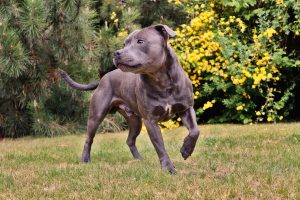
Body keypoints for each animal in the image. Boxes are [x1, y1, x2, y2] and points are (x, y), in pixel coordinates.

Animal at [58, 24, 199, 173]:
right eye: (124, 44)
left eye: (140, 41)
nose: (117, 53)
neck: (161, 81)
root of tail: (103, 78)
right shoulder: (150, 121)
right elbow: (160, 146)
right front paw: (168, 167)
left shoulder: (186, 108)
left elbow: (195, 131)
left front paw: (186, 150)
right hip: (96, 116)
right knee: (88, 139)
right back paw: (85, 160)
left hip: (135, 121)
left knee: (130, 140)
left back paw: (139, 159)